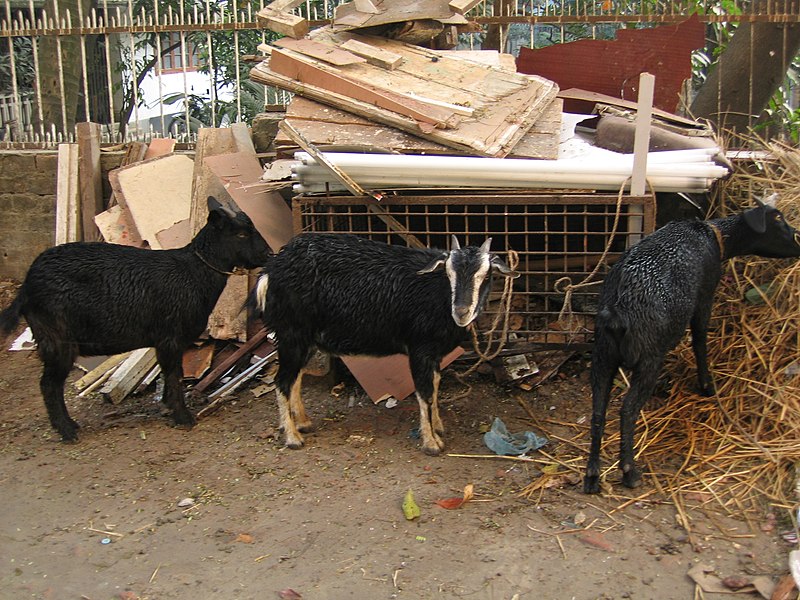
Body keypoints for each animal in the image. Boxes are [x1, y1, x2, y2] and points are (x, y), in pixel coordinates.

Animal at [0, 197, 272, 440]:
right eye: (241, 235)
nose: (268, 254)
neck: (194, 271)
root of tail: (27, 285)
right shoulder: (170, 337)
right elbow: (173, 375)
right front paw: (183, 417)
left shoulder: (166, 341)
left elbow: (170, 374)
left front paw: (168, 407)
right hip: (56, 338)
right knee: (49, 385)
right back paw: (67, 431)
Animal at [255, 233, 520, 454]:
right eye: (449, 273)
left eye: (486, 275)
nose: (461, 311)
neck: (438, 295)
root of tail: (271, 271)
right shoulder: (419, 349)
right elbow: (424, 393)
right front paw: (431, 443)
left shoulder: (434, 355)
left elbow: (435, 386)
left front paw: (438, 426)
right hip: (292, 334)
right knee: (282, 381)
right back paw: (292, 437)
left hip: (304, 340)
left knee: (295, 378)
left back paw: (303, 422)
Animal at [580, 195, 800, 494]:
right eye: (778, 222)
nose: (799, 240)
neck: (714, 235)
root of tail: (617, 311)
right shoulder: (705, 294)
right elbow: (699, 337)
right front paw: (707, 386)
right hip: (649, 355)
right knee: (627, 410)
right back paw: (629, 471)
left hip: (603, 354)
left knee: (597, 411)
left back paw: (592, 476)